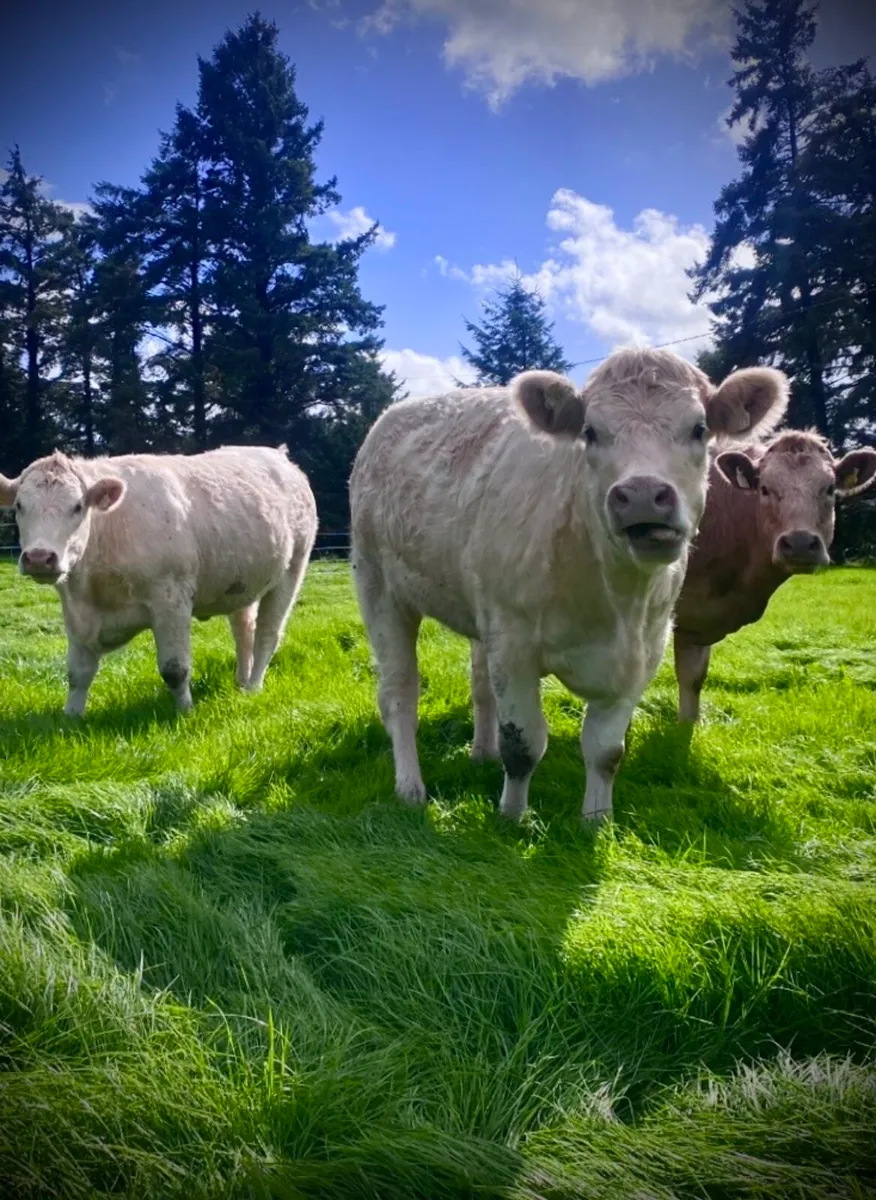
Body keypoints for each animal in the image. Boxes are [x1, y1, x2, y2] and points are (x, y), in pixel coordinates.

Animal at [0, 445, 317, 715]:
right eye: (19, 506)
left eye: (77, 506)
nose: (39, 557)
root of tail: (278, 455)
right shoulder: (77, 611)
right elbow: (78, 673)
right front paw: (71, 718)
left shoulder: (171, 599)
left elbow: (175, 669)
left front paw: (185, 713)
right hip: (241, 582)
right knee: (243, 629)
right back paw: (241, 680)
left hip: (292, 569)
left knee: (267, 633)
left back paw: (252, 687)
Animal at [349, 347, 790, 824]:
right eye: (590, 432)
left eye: (699, 428)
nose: (641, 494)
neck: (615, 597)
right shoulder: (514, 645)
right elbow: (523, 744)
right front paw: (512, 817)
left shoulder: (643, 653)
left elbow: (605, 751)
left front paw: (597, 821)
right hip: (380, 590)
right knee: (400, 694)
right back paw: (410, 786)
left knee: (480, 683)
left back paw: (481, 752)